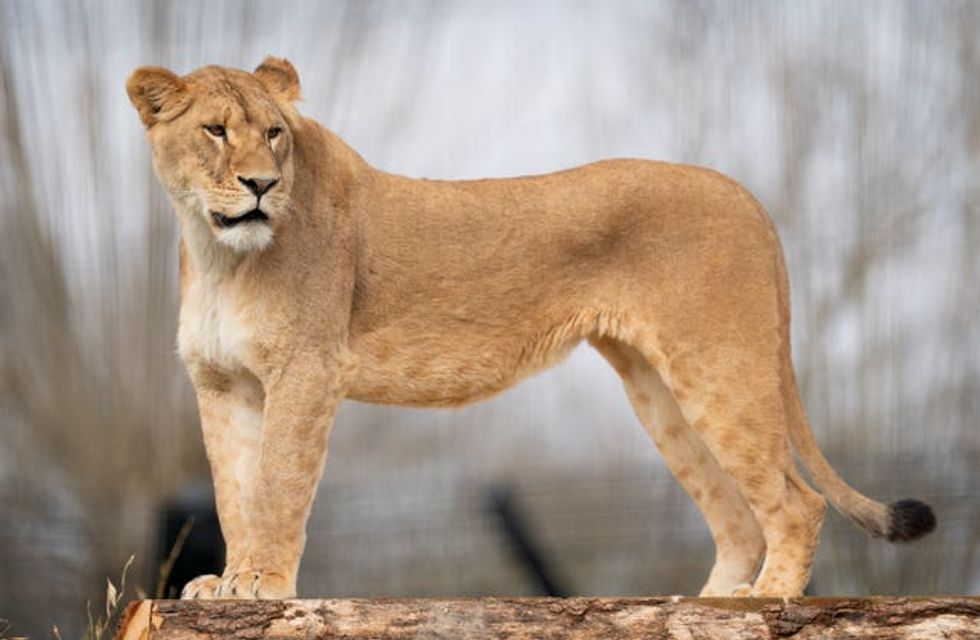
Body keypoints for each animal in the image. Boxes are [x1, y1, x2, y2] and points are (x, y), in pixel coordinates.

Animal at [126, 57, 935, 599]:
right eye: (215, 131)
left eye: (274, 133)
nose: (262, 184)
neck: (217, 252)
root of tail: (745, 195)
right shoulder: (222, 383)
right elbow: (232, 490)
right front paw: (225, 585)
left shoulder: (307, 369)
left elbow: (277, 485)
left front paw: (262, 585)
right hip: (661, 392)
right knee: (738, 518)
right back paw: (716, 606)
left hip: (717, 367)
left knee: (796, 504)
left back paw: (764, 604)